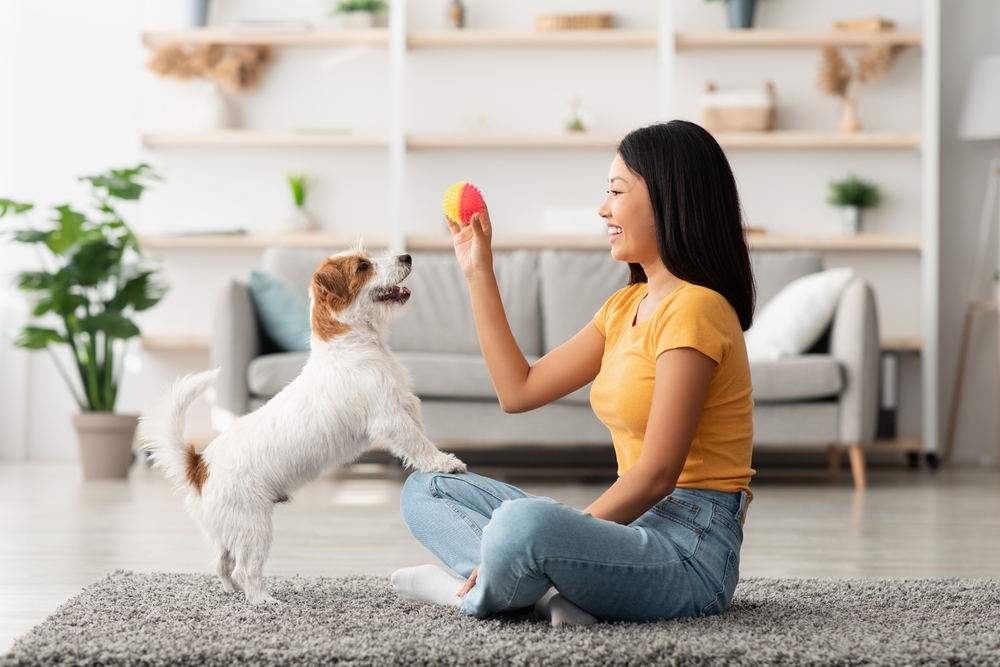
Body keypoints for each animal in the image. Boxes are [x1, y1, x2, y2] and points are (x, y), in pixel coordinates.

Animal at [142, 248, 468, 604]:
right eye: (363, 266)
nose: (407, 256)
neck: (351, 344)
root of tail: (199, 466)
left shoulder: (407, 406)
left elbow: (421, 435)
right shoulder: (391, 419)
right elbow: (418, 444)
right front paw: (445, 463)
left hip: (230, 530)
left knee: (221, 562)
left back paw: (232, 591)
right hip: (255, 527)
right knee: (245, 569)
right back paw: (264, 601)